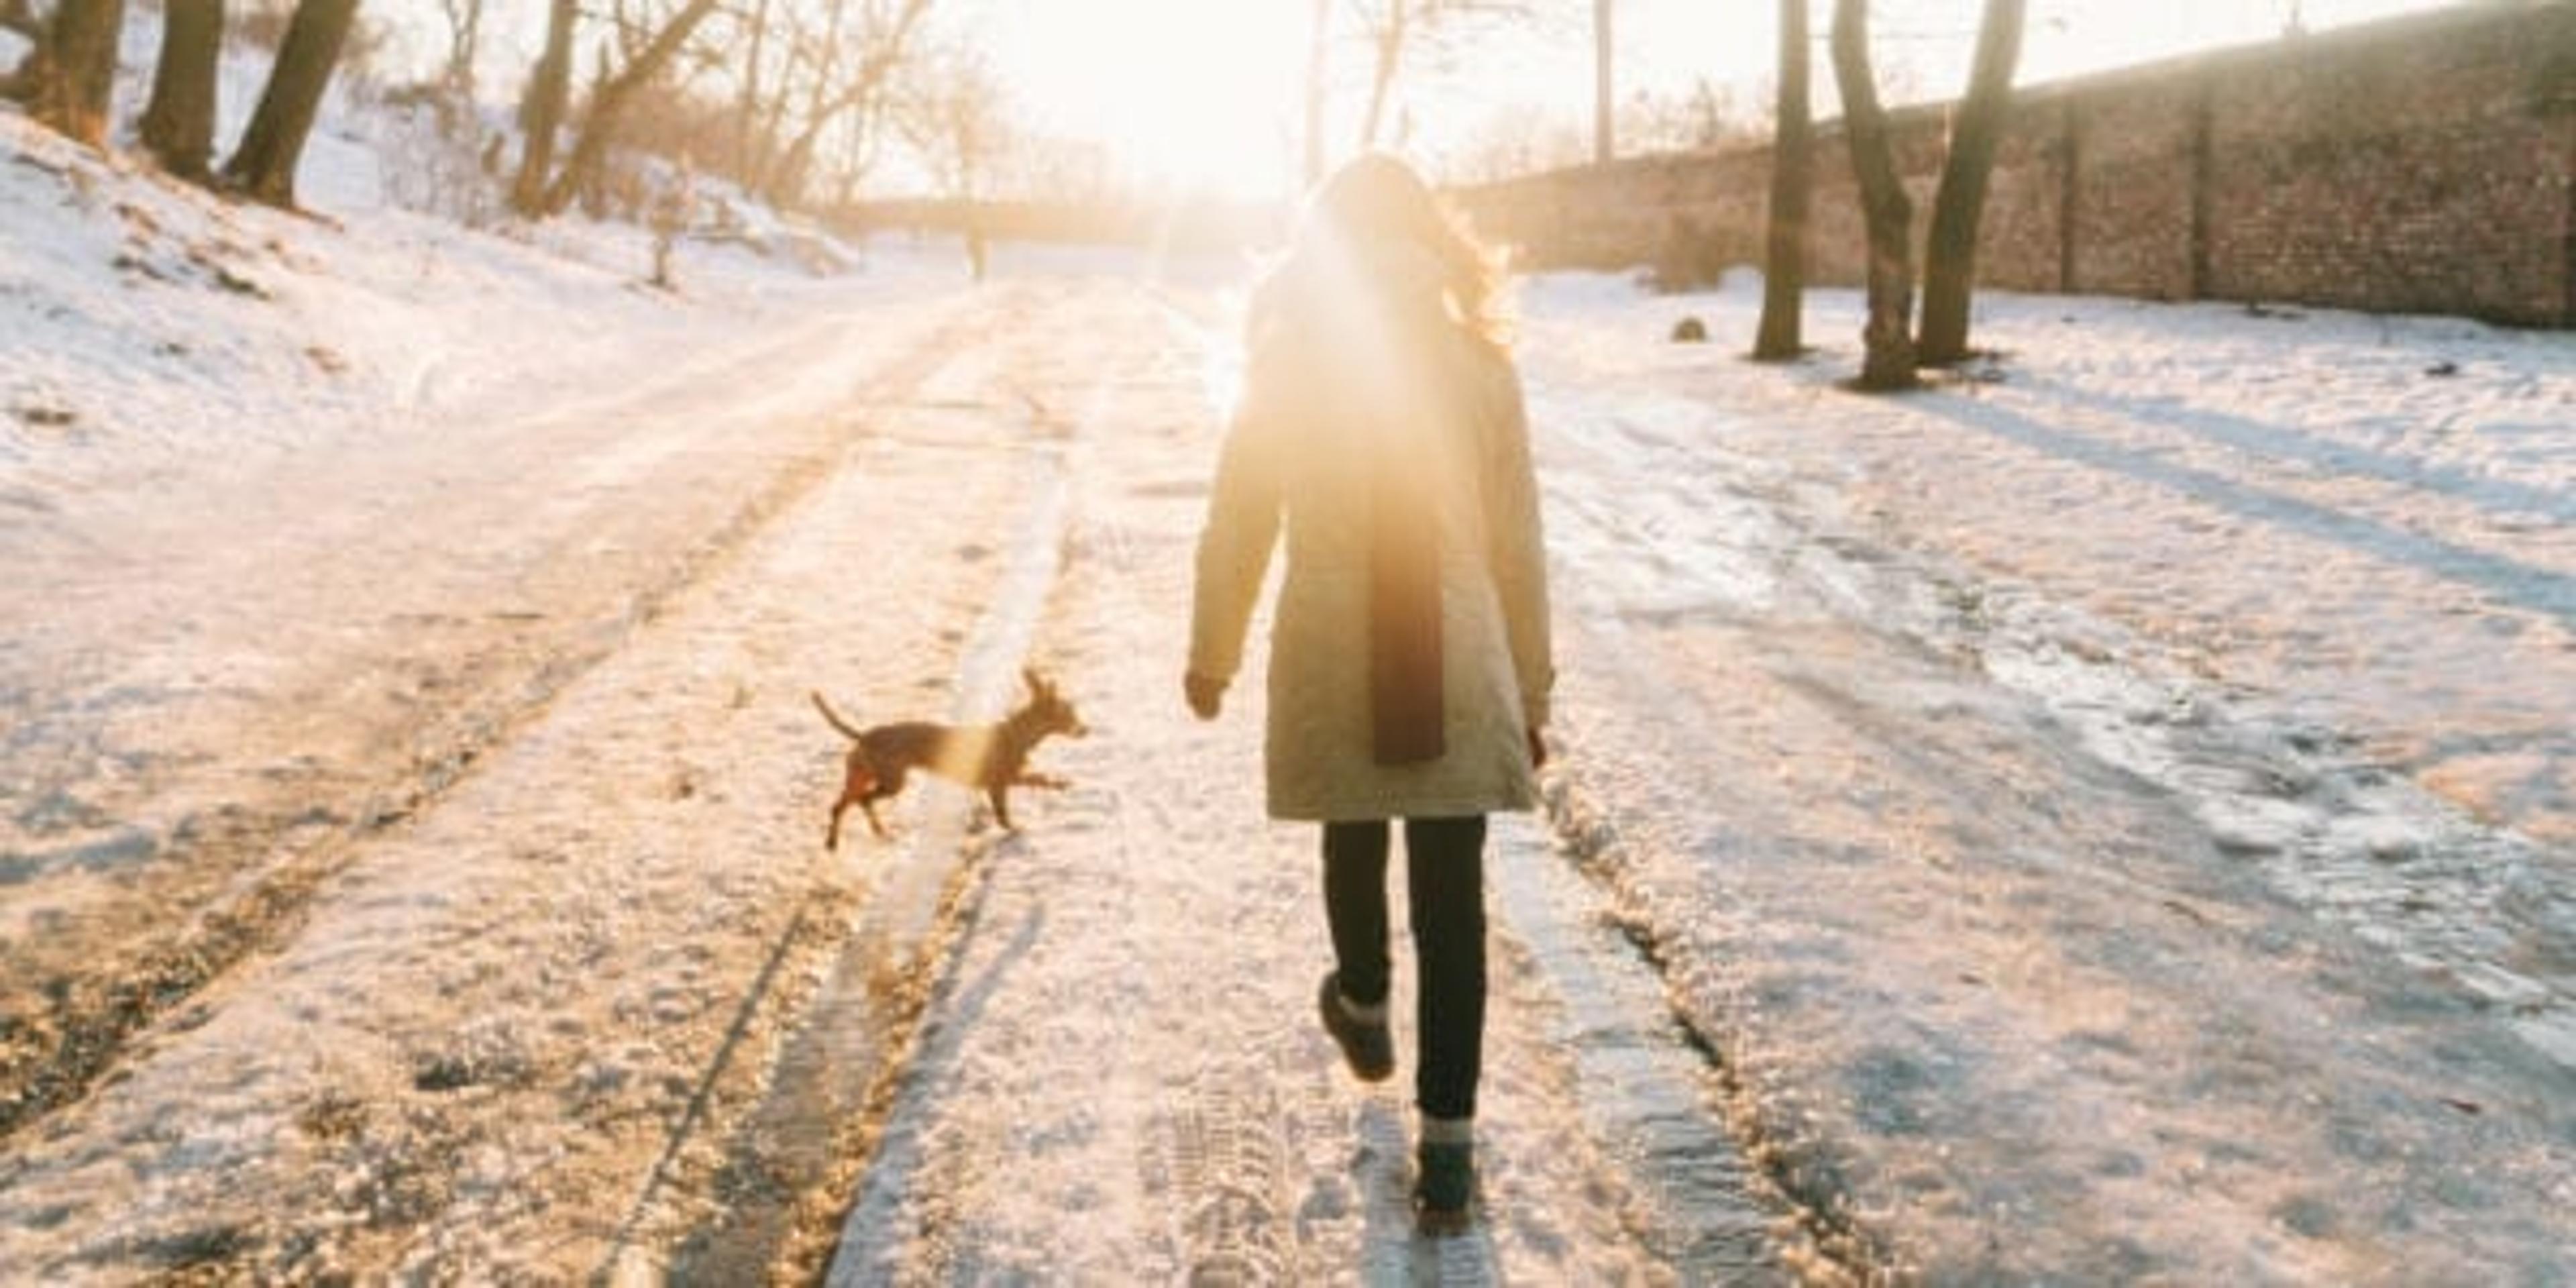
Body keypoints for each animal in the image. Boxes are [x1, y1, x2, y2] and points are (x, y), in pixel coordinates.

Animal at [808, 669, 1081, 850]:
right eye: (1069, 713)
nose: (1086, 729)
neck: (1015, 734)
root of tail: (865, 735)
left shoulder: (1005, 780)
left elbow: (1036, 780)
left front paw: (1060, 785)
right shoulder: (1000, 783)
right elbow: (1009, 808)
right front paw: (1015, 829)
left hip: (860, 777)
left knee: (841, 805)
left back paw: (836, 841)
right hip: (891, 782)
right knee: (862, 802)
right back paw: (873, 833)